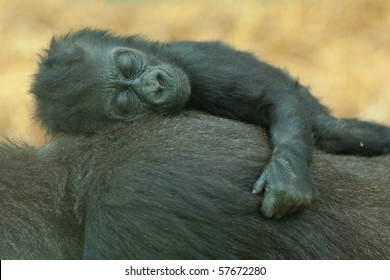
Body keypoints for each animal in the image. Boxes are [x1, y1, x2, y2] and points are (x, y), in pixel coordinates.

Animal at [31, 29, 390, 221]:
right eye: (124, 100)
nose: (156, 85)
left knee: (336, 131)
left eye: (129, 64)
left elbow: (276, 98)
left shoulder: (196, 63)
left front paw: (287, 175)